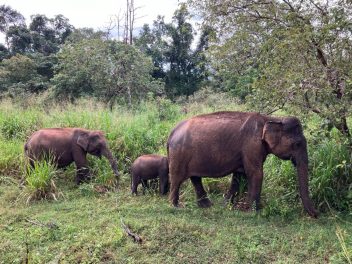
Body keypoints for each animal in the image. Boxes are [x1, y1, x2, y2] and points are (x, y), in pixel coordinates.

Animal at [168, 110, 320, 218]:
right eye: (298, 144)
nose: (317, 215)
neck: (271, 118)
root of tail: (172, 132)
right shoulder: (251, 145)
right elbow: (256, 173)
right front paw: (254, 211)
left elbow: (239, 176)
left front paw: (226, 206)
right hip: (178, 155)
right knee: (176, 179)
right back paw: (174, 206)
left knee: (195, 178)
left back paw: (206, 206)